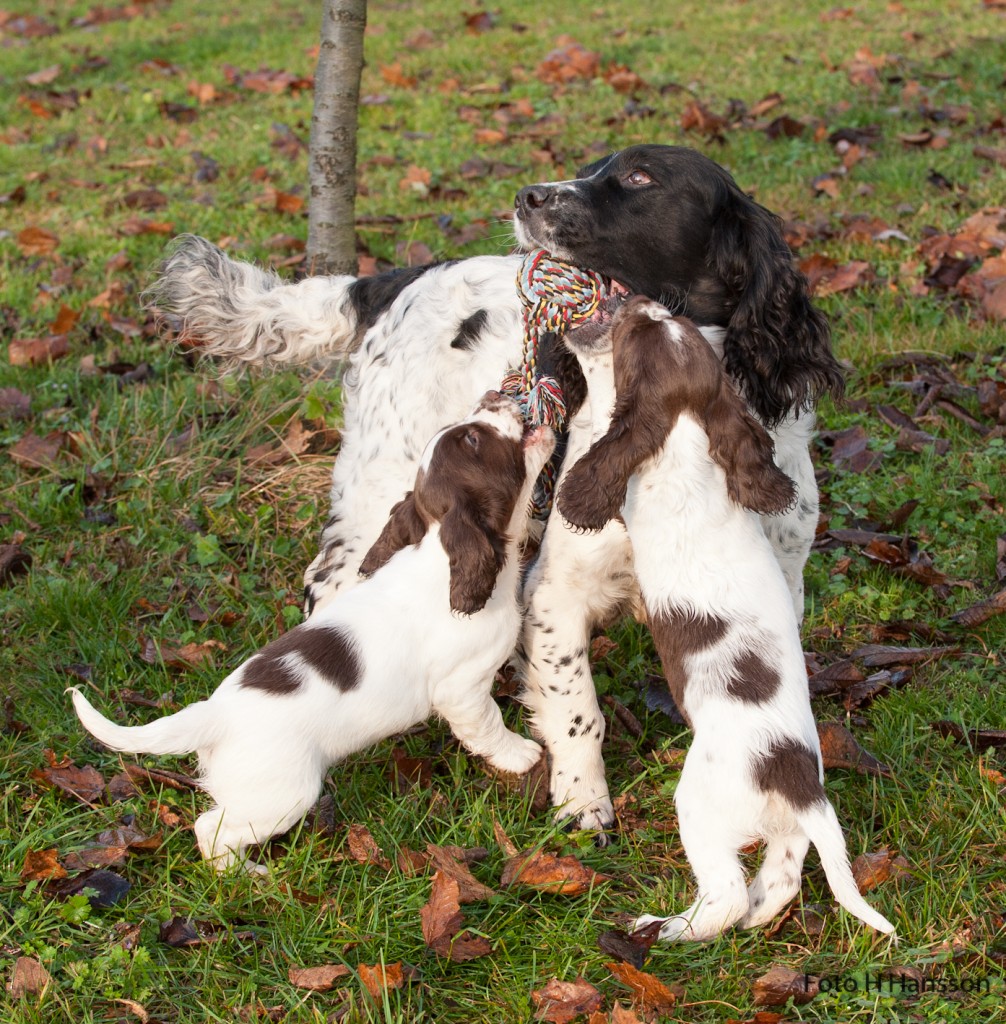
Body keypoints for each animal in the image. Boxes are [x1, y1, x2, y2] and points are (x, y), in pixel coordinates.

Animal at [72, 391, 553, 872]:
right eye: (474, 438)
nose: (495, 394)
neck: (442, 556)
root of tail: (212, 715)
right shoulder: (462, 690)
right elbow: (487, 725)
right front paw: (519, 754)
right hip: (284, 792)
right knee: (211, 829)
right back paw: (247, 874)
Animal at [149, 144, 844, 835]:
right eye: (593, 166)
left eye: (640, 176)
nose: (527, 197)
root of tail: (392, 279)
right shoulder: (562, 587)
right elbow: (578, 708)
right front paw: (581, 801)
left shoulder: (775, 580)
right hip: (384, 484)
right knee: (334, 583)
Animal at [557, 299, 897, 942]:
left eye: (633, 333)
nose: (637, 303)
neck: (687, 435)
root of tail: (795, 781)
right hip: (789, 829)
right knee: (783, 876)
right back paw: (758, 913)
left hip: (699, 807)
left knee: (724, 896)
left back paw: (667, 927)